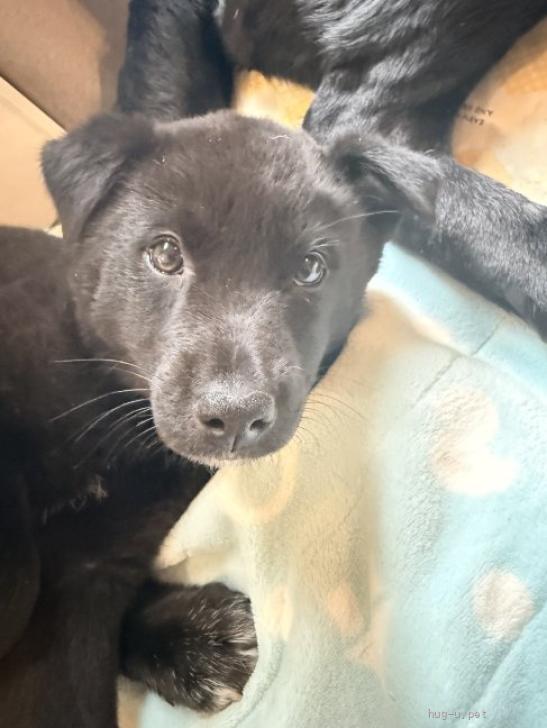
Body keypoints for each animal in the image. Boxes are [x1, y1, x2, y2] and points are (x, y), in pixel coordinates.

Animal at [0, 107, 438, 725]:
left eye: (312, 268)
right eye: (164, 253)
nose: (234, 416)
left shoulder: (92, 571)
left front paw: (197, 642)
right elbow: (16, 576)